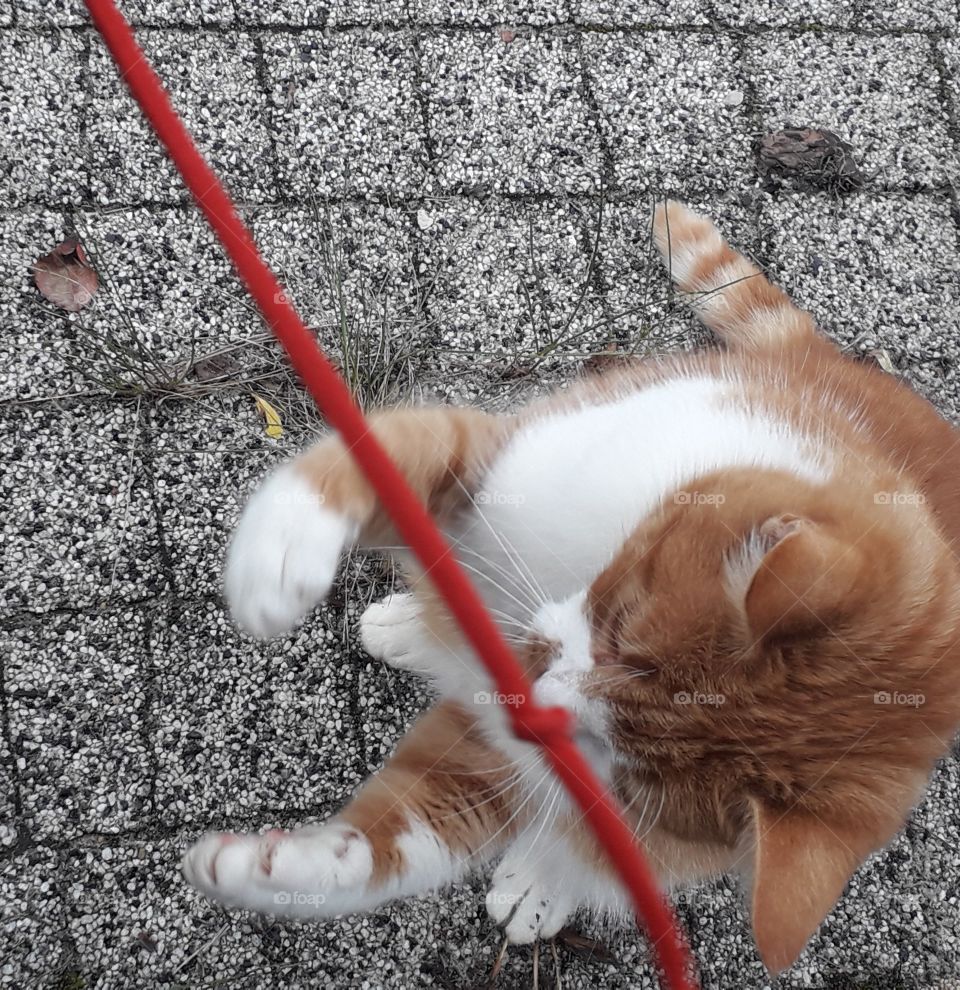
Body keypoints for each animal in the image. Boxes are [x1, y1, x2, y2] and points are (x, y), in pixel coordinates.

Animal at [182, 202, 960, 976]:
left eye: (616, 763)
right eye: (620, 623)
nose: (527, 699)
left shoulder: (508, 754)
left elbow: (422, 834)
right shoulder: (485, 470)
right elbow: (381, 461)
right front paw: (281, 549)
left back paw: (541, 877)